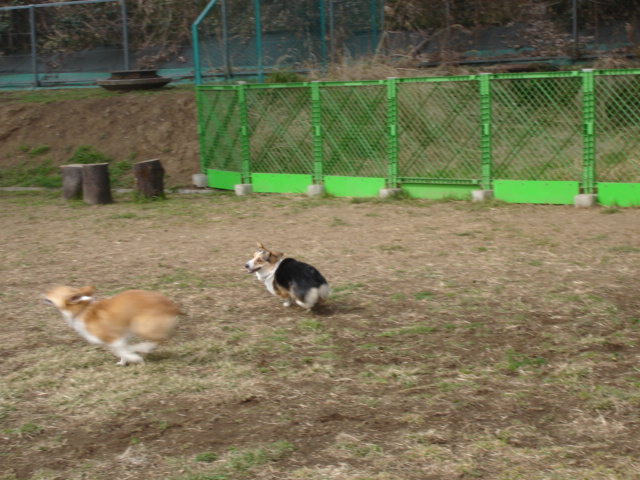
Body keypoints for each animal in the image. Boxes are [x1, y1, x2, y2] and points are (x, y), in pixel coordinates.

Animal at [43, 285, 180, 365]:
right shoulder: (123, 336)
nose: (43, 291)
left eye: (53, 291)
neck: (81, 310)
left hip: (142, 327)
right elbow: (122, 351)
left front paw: (135, 358)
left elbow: (121, 351)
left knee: (160, 340)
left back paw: (142, 348)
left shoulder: (113, 339)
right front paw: (123, 362)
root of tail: (172, 306)